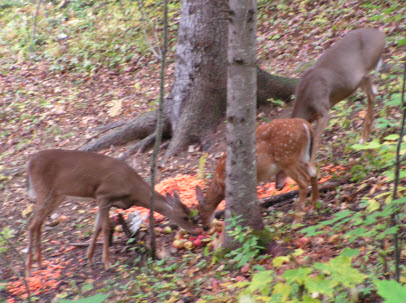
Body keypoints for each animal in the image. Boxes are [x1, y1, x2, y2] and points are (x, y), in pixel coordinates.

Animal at [25, 150, 198, 278]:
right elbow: (105, 227)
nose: (197, 230)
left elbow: (97, 227)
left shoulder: (107, 201)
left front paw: (90, 258)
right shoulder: (103, 194)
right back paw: (29, 268)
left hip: (57, 196)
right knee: (32, 223)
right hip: (44, 191)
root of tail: (29, 162)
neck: (132, 188)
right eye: (185, 217)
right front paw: (107, 263)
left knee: (38, 223)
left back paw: (39, 263)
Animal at [274, 27, 386, 190]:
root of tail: (381, 34)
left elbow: (316, 140)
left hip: (364, 71)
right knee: (373, 93)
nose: (277, 185)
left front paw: (312, 173)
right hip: (360, 79)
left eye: (282, 163)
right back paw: (364, 140)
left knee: (372, 93)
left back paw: (363, 139)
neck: (306, 99)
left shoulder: (324, 109)